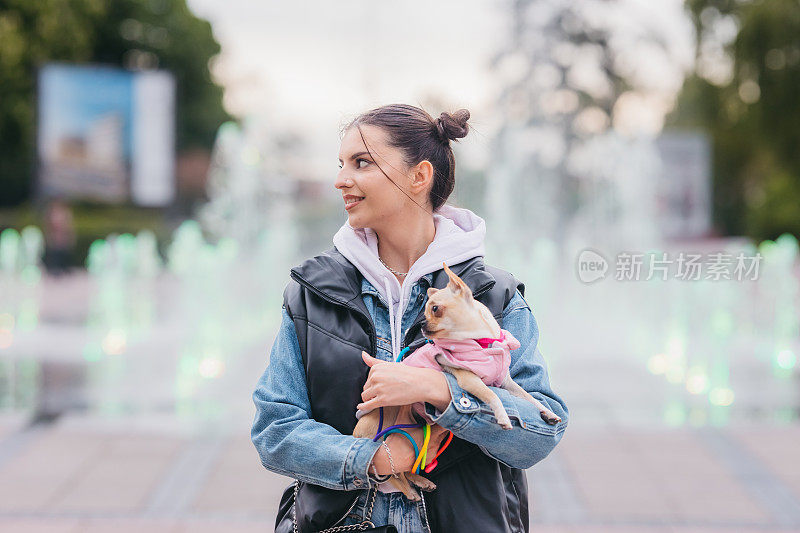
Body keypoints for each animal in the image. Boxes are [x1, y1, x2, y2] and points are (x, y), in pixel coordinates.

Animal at [354, 262, 564, 498]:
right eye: (426, 311)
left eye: (435, 309)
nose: (422, 324)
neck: (482, 342)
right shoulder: (468, 379)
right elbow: (491, 395)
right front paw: (502, 416)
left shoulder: (507, 383)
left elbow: (529, 397)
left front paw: (548, 413)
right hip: (387, 427)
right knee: (389, 470)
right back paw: (409, 492)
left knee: (404, 469)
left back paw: (420, 481)